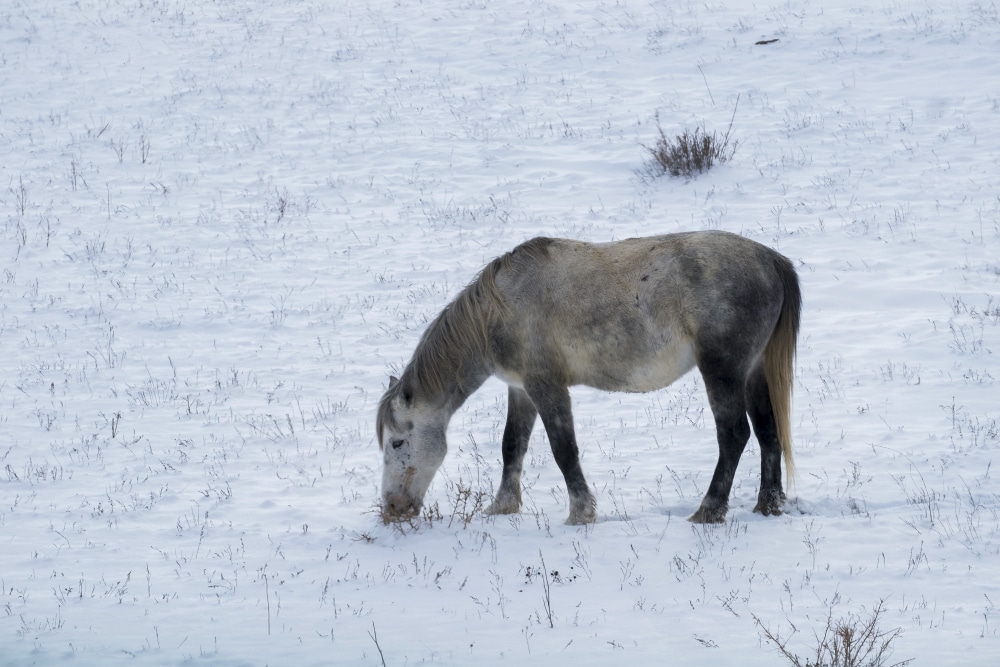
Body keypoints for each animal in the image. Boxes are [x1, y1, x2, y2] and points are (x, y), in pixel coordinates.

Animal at [376, 231, 801, 525]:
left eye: (397, 443)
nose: (393, 508)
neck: (498, 311)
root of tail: (771, 260)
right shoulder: (521, 389)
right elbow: (512, 446)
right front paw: (502, 507)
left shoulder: (546, 385)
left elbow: (564, 449)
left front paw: (580, 513)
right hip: (753, 370)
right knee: (768, 433)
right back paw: (768, 506)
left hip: (722, 369)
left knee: (734, 435)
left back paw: (708, 511)